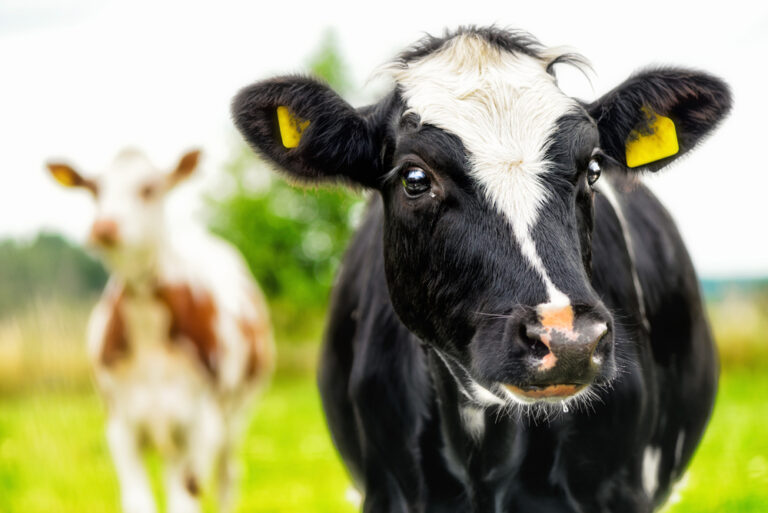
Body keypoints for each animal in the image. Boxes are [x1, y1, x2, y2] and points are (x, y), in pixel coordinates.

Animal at [46, 148, 274, 513]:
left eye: (149, 188)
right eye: (94, 189)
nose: (104, 227)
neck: (148, 327)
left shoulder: (202, 424)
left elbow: (187, 498)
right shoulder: (120, 424)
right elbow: (139, 501)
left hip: (236, 415)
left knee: (227, 476)